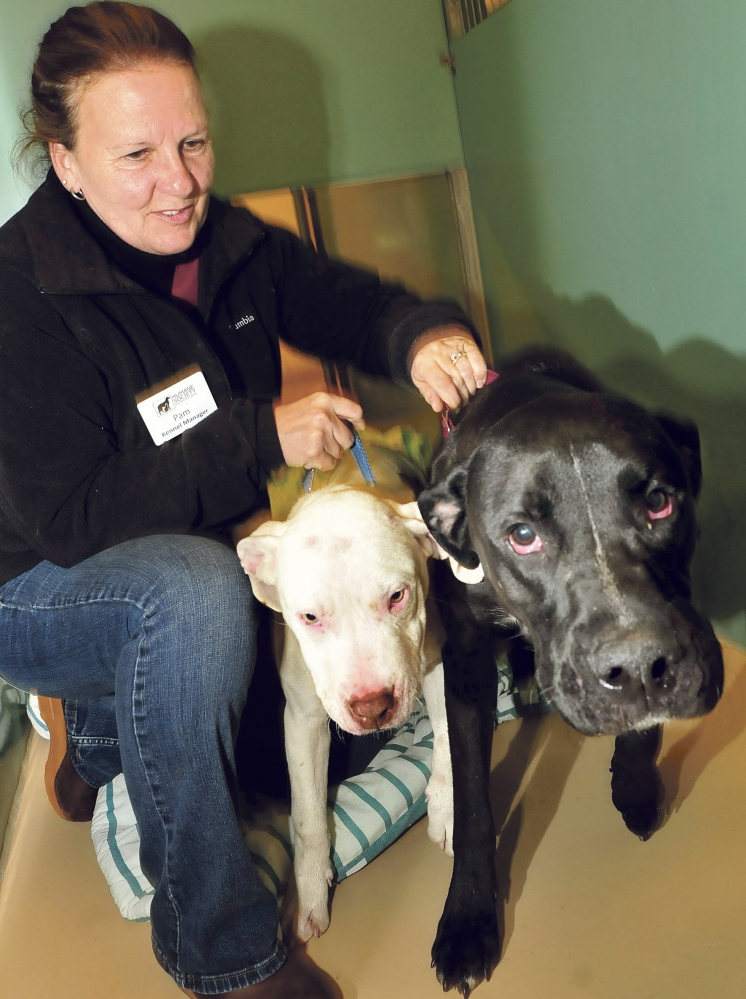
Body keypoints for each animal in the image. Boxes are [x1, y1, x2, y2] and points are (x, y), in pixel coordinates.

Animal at [235, 488, 450, 940]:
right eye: (310, 617)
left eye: (397, 596)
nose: (372, 706)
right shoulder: (303, 721)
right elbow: (308, 815)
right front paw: (311, 893)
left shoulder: (435, 659)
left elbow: (447, 734)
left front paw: (445, 805)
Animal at [418, 348, 720, 996]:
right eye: (522, 536)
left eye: (660, 502)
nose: (640, 668)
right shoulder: (465, 662)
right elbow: (473, 796)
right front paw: (468, 918)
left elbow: (642, 730)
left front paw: (634, 784)